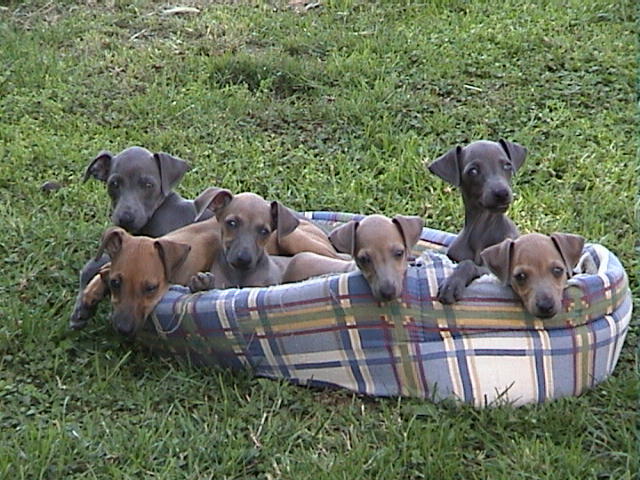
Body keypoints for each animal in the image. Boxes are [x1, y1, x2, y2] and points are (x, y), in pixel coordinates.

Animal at [427, 139, 527, 304]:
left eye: (507, 165)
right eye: (473, 171)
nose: (502, 193)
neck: (481, 229)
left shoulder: (493, 272)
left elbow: (468, 264)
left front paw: (452, 283)